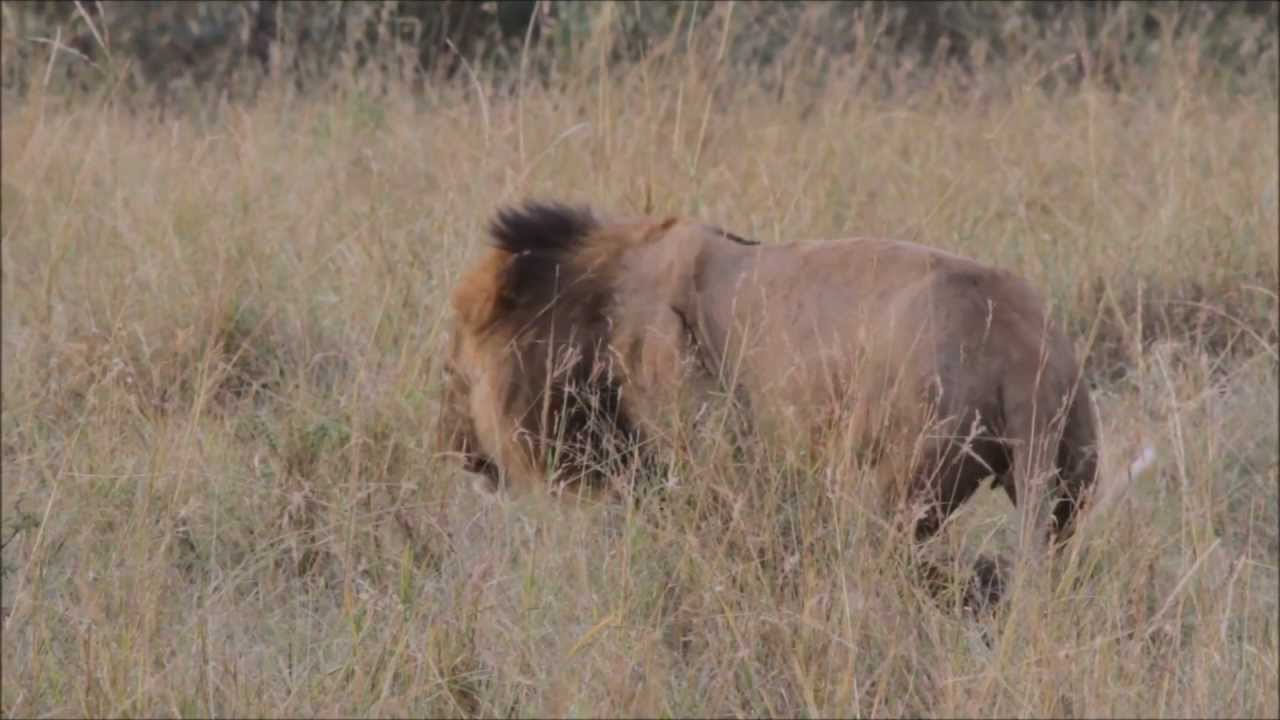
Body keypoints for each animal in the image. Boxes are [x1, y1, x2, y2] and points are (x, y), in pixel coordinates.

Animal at [436, 201, 1101, 602]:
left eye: (454, 364)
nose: (458, 451)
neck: (598, 305)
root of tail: (1022, 349)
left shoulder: (709, 464)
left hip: (890, 478)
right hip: (1073, 478)